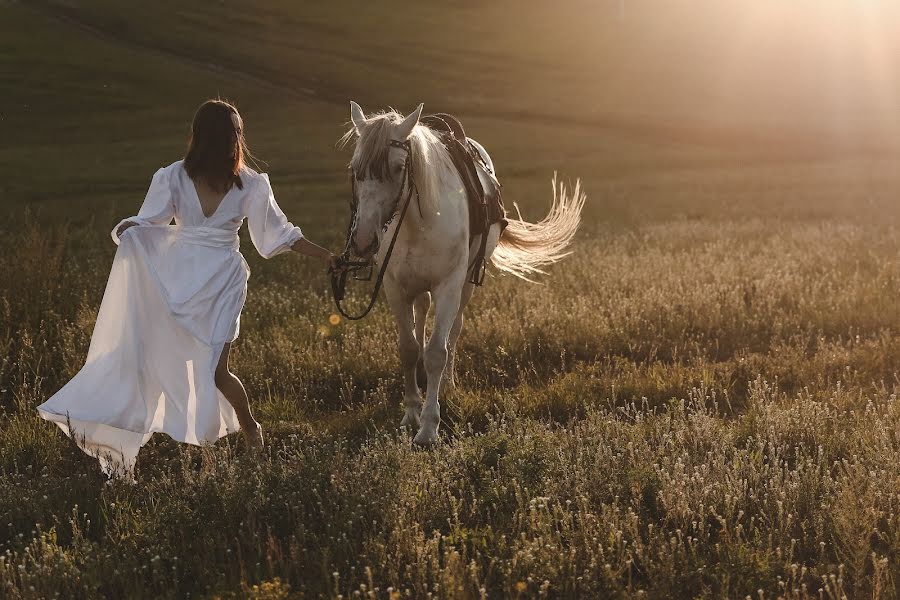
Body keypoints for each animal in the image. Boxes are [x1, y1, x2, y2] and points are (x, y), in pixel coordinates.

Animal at [340, 101, 584, 442]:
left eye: (399, 167)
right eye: (354, 169)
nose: (362, 241)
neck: (417, 223)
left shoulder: (449, 285)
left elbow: (436, 353)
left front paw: (429, 426)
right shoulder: (394, 287)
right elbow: (408, 348)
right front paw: (411, 413)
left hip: (465, 284)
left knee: (454, 330)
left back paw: (447, 385)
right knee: (422, 316)